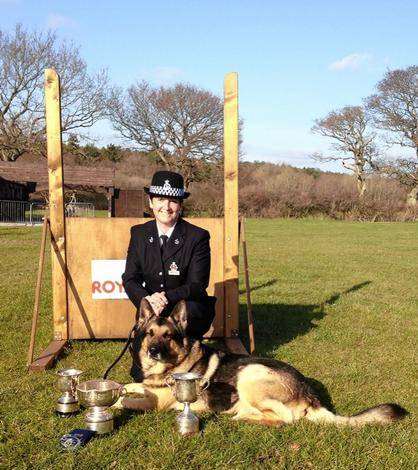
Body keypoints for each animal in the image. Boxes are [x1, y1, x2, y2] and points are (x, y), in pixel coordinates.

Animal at [114, 300, 408, 428]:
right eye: (150, 333)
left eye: (168, 336)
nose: (153, 351)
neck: (174, 365)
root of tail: (309, 392)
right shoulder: (146, 387)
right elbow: (126, 386)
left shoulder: (158, 402)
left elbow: (126, 401)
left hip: (250, 373)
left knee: (287, 418)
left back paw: (243, 416)